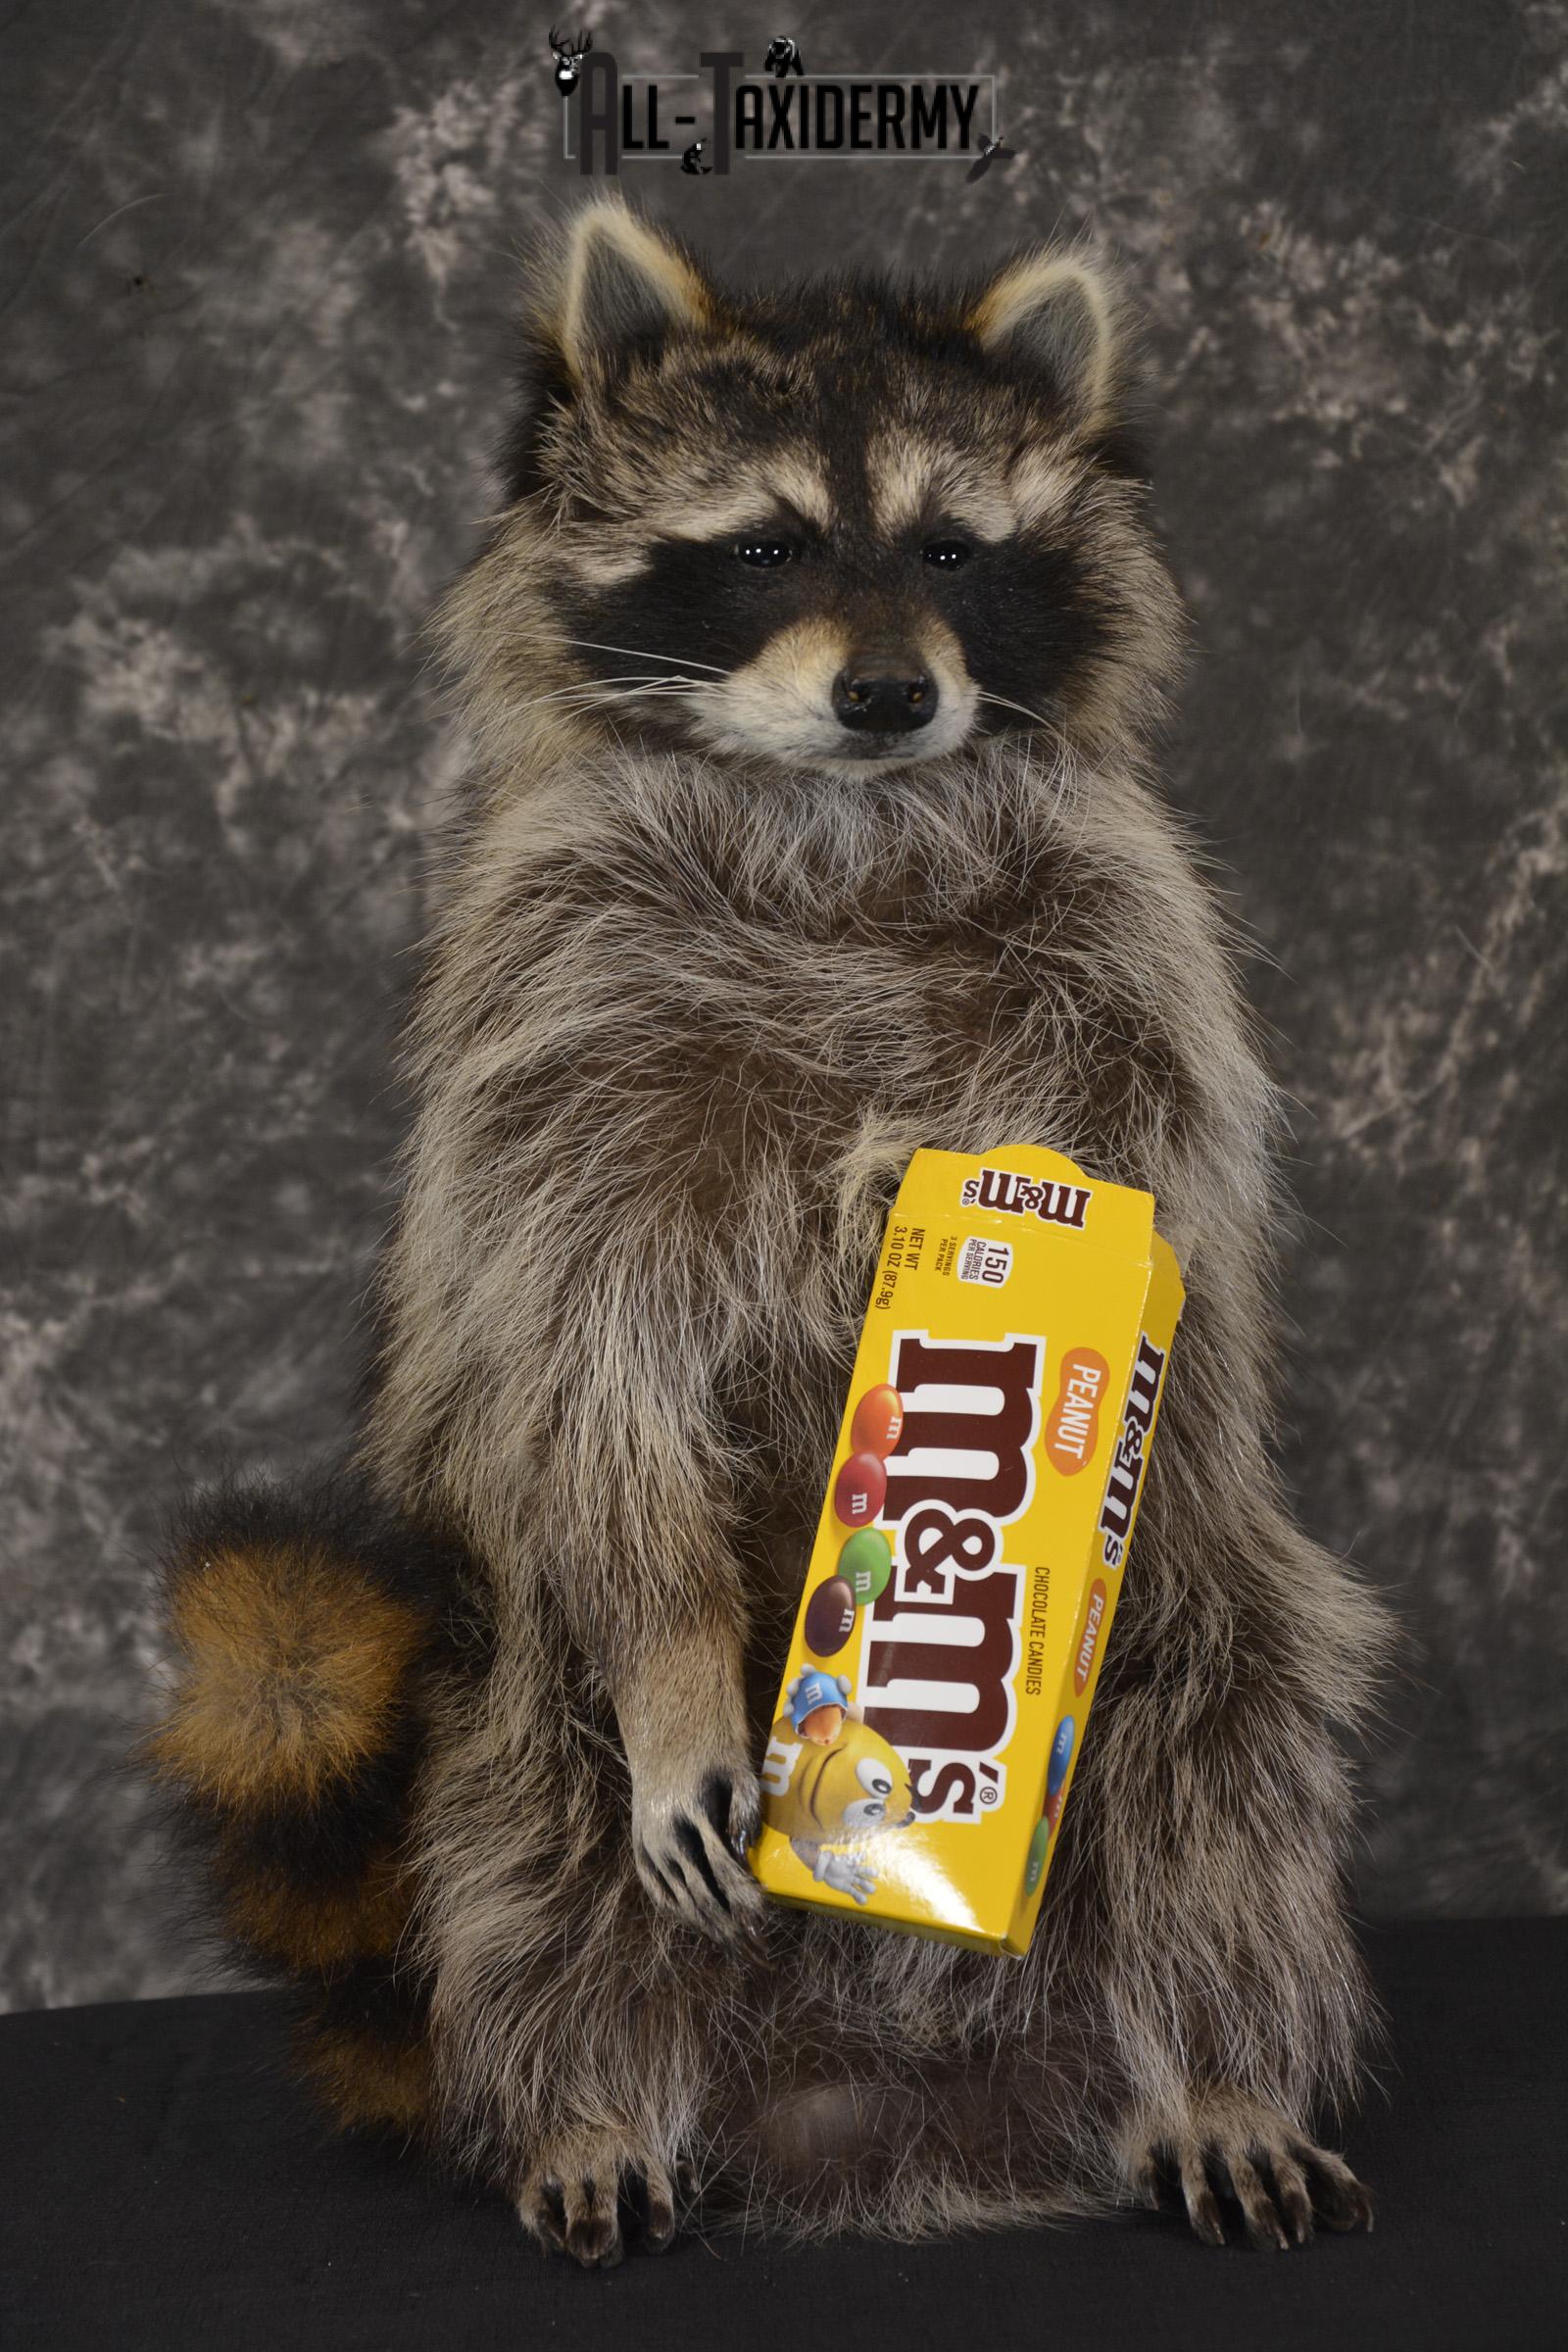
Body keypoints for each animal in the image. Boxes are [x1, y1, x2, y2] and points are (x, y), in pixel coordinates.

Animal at [149, 197, 1392, 2263]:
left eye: (954, 550)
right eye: (766, 549)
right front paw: (675, 1674)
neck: (841, 820)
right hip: (500, 1669)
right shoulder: (559, 1020)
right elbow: (587, 1363)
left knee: (1215, 1775)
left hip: (1200, 1651)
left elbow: (1163, 1232)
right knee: (530, 1819)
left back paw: (1209, 2071)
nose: (891, 694)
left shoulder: (1124, 966)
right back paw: (587, 2094)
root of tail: (883, 2118)